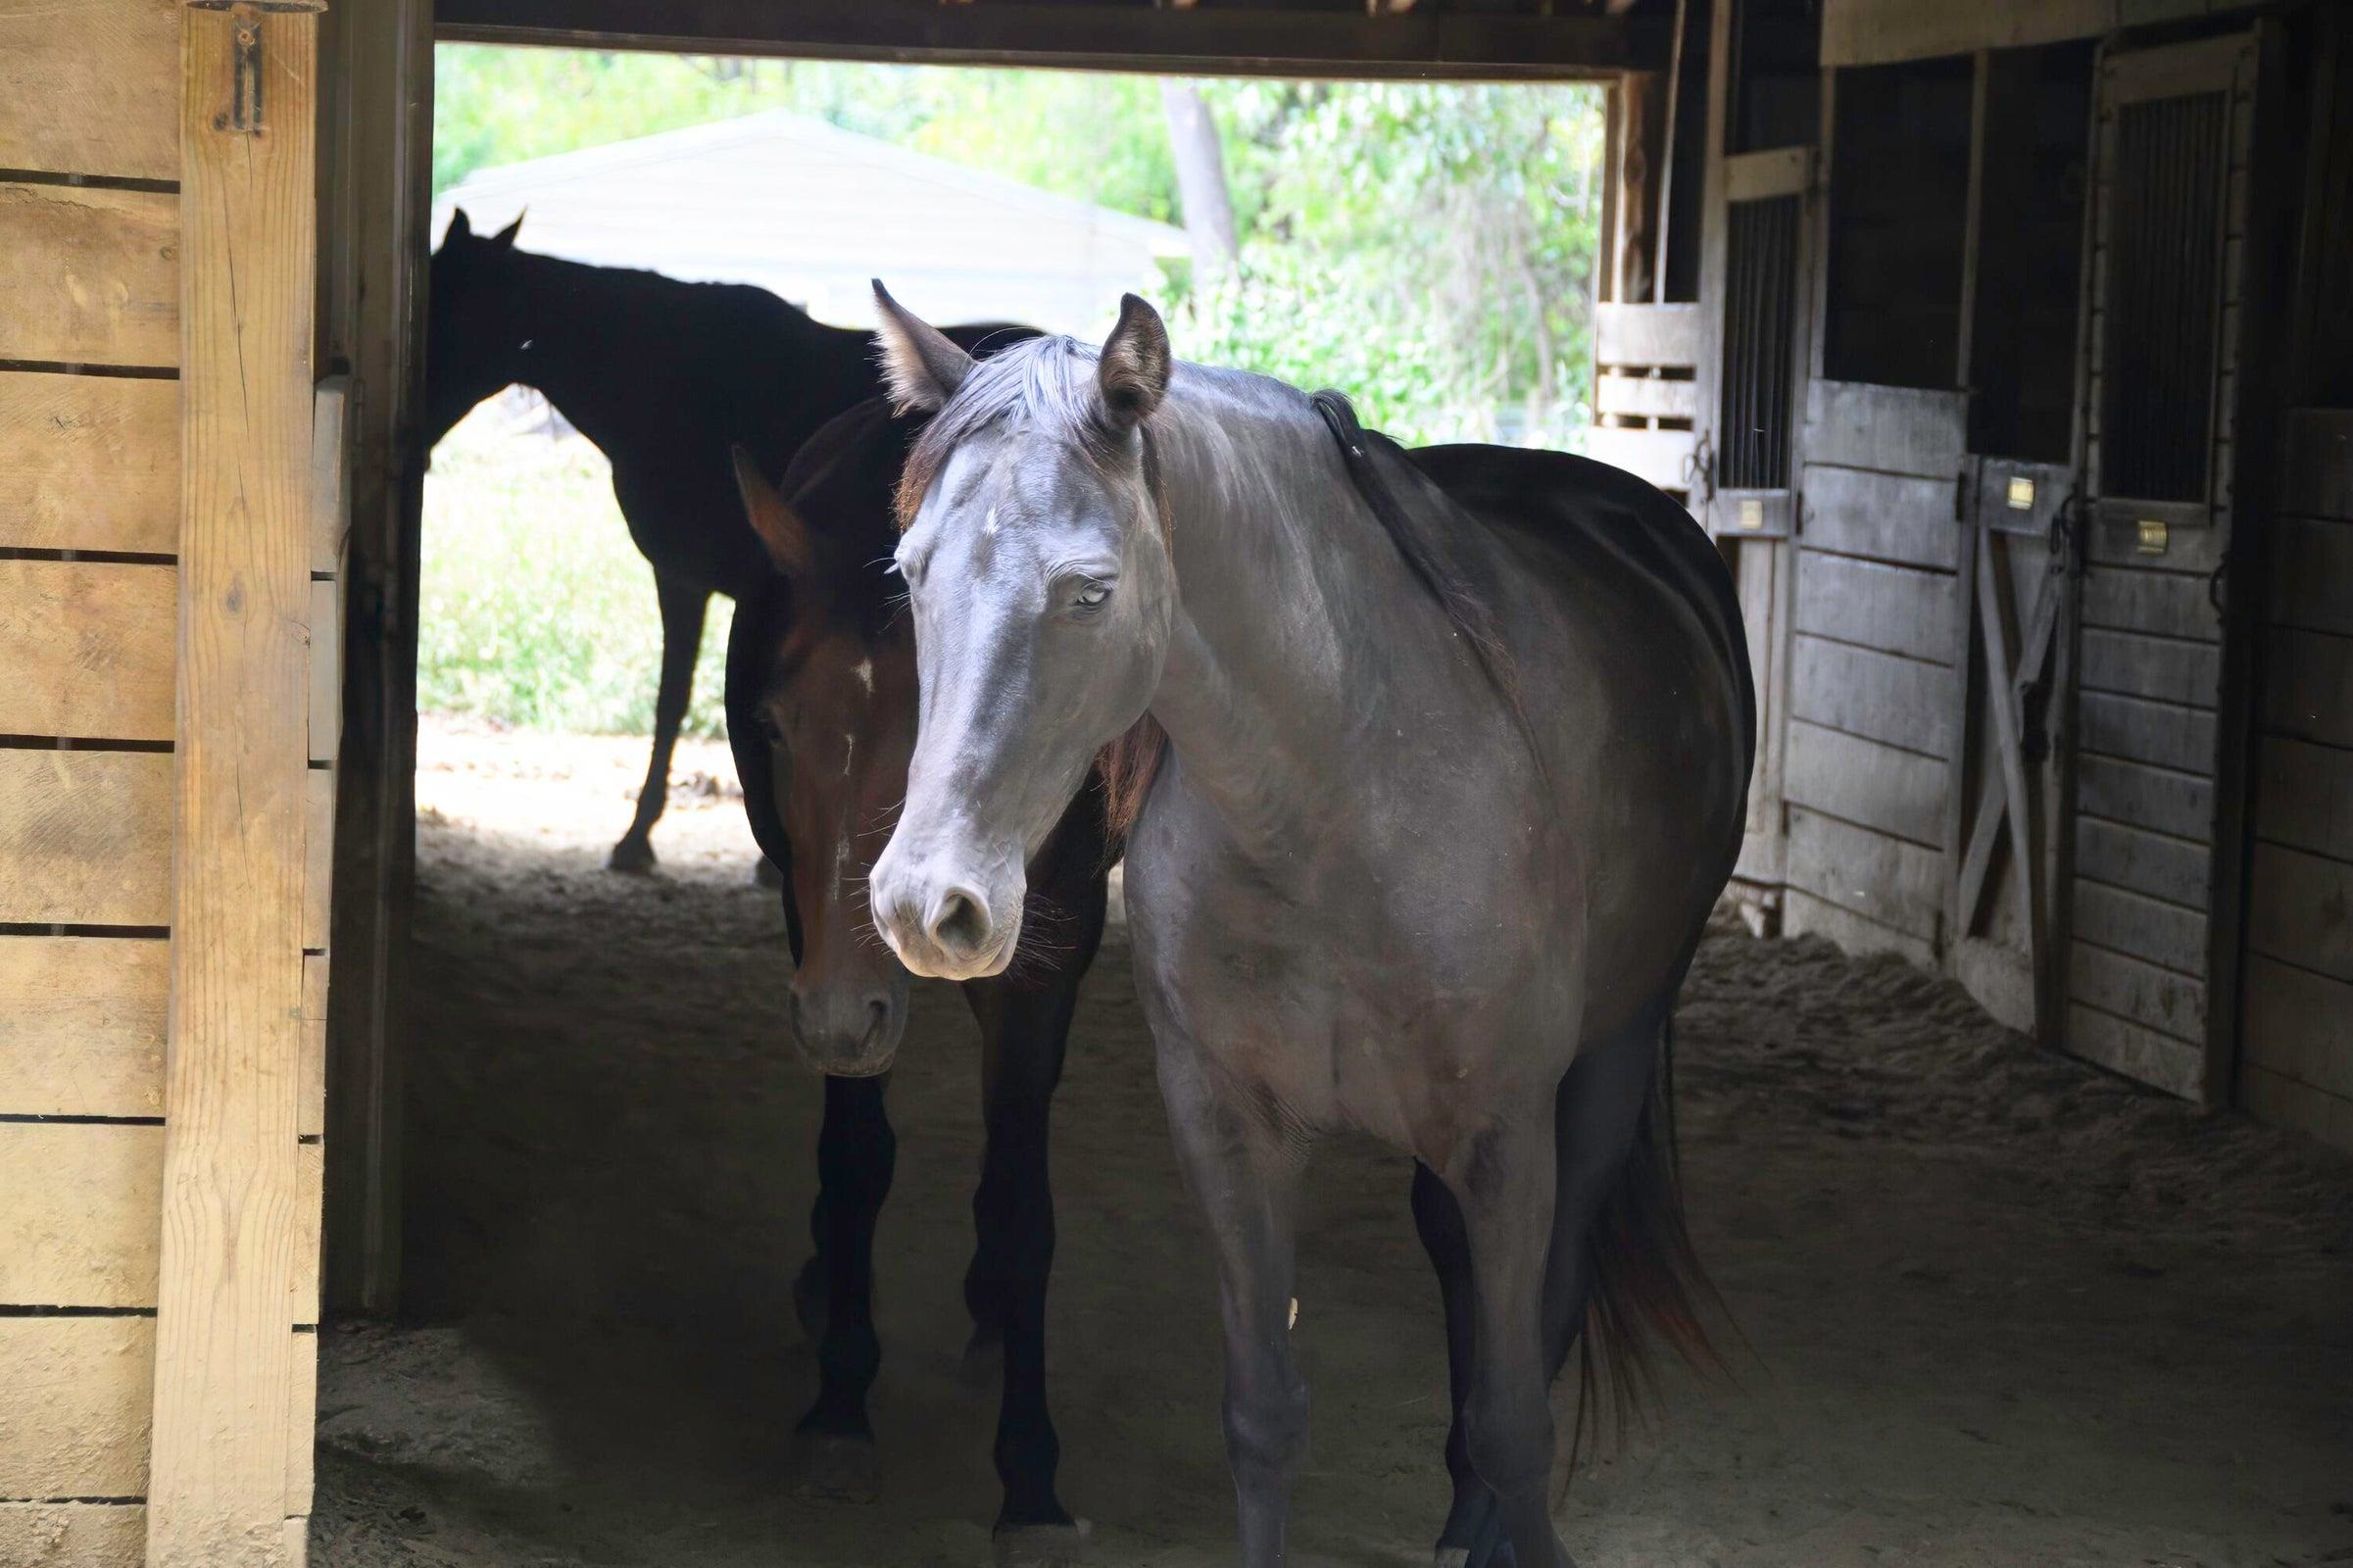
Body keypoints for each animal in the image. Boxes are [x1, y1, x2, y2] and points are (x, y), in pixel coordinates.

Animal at [860, 289, 1750, 1563]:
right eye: (910, 570)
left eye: (1090, 591)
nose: (926, 904)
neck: (1335, 805)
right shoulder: (1229, 1128)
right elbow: (1264, 1415)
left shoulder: (1506, 1138)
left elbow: (1517, 1419)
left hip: (1613, 1059)